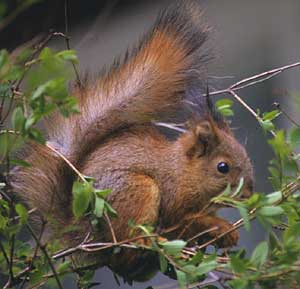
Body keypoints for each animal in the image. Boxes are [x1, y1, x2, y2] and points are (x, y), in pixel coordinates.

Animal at [11, 0, 253, 280]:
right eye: (222, 167)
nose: (249, 193)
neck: (184, 172)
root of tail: (86, 231)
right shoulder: (173, 201)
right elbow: (186, 222)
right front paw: (222, 228)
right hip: (137, 191)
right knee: (128, 246)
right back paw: (151, 244)